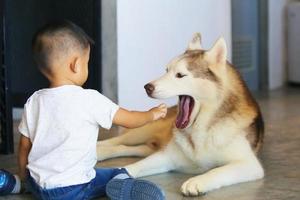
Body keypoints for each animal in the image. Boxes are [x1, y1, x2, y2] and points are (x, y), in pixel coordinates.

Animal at [97, 33, 264, 196]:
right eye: (166, 70)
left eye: (180, 75)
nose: (147, 87)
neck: (202, 127)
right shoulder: (166, 156)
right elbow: (133, 166)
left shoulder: (249, 165)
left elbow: (219, 171)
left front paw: (198, 181)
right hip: (144, 129)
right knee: (119, 141)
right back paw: (99, 148)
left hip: (150, 144)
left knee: (133, 148)